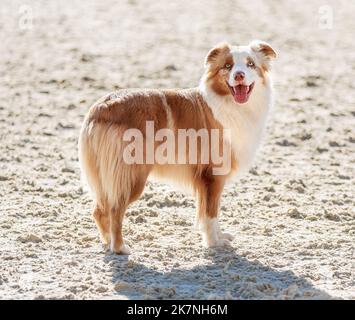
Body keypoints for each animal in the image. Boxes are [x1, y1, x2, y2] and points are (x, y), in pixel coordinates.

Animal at [79, 40, 276, 255]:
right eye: (227, 66)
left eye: (250, 64)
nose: (239, 75)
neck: (230, 103)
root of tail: (101, 107)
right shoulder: (212, 176)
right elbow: (210, 213)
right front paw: (214, 243)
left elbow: (211, 212)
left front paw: (219, 236)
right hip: (131, 177)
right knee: (114, 210)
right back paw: (119, 247)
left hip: (104, 177)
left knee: (99, 211)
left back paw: (107, 242)